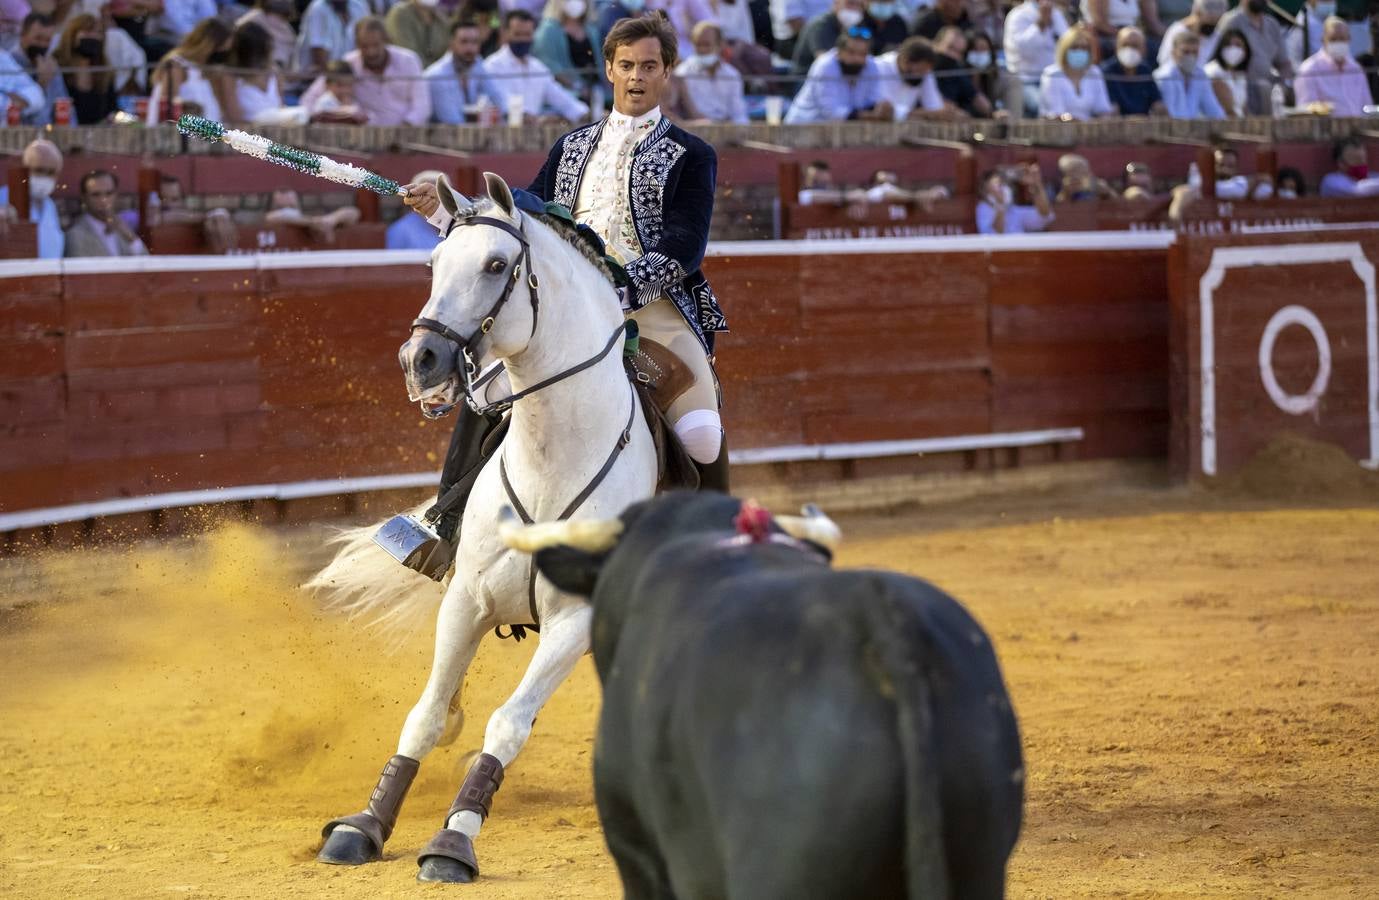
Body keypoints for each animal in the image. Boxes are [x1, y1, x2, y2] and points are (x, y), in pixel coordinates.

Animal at [310, 172, 659, 882]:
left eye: (498, 265)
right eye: (433, 263)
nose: (420, 358)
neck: (553, 452)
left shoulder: (573, 620)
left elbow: (509, 724)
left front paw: (453, 840)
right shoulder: (466, 600)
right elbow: (423, 715)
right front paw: (363, 826)